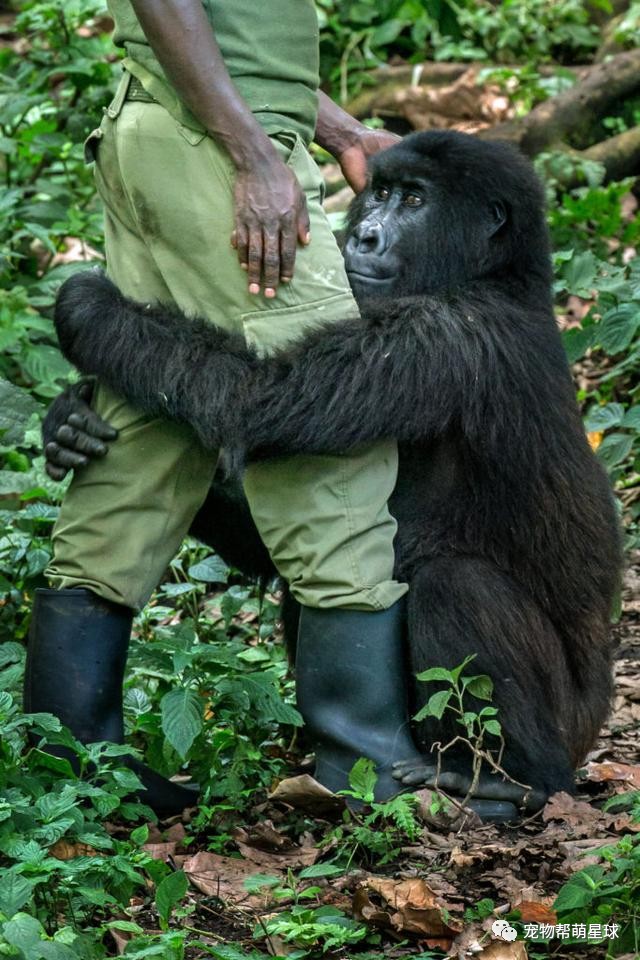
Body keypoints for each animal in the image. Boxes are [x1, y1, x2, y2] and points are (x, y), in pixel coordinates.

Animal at [45, 127, 620, 816]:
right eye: (379, 192)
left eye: (415, 200)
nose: (365, 234)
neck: (497, 276)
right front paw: (66, 426)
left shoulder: (444, 334)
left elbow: (253, 403)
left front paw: (93, 312)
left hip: (571, 733)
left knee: (455, 585)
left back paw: (510, 779)